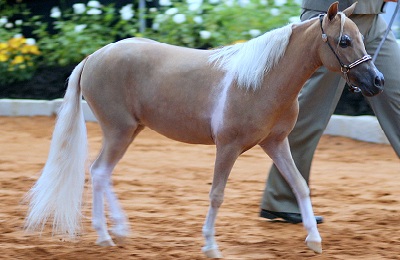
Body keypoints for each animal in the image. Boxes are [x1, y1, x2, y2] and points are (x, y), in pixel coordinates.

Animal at [25, 2, 384, 258]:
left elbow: (299, 185)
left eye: (362, 38)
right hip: (119, 130)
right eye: (344, 41)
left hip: (131, 130)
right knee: (99, 171)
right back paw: (105, 236)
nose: (377, 82)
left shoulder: (275, 143)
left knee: (103, 172)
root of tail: (93, 56)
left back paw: (121, 231)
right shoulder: (227, 146)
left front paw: (314, 239)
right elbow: (217, 194)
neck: (261, 80)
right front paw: (210, 246)